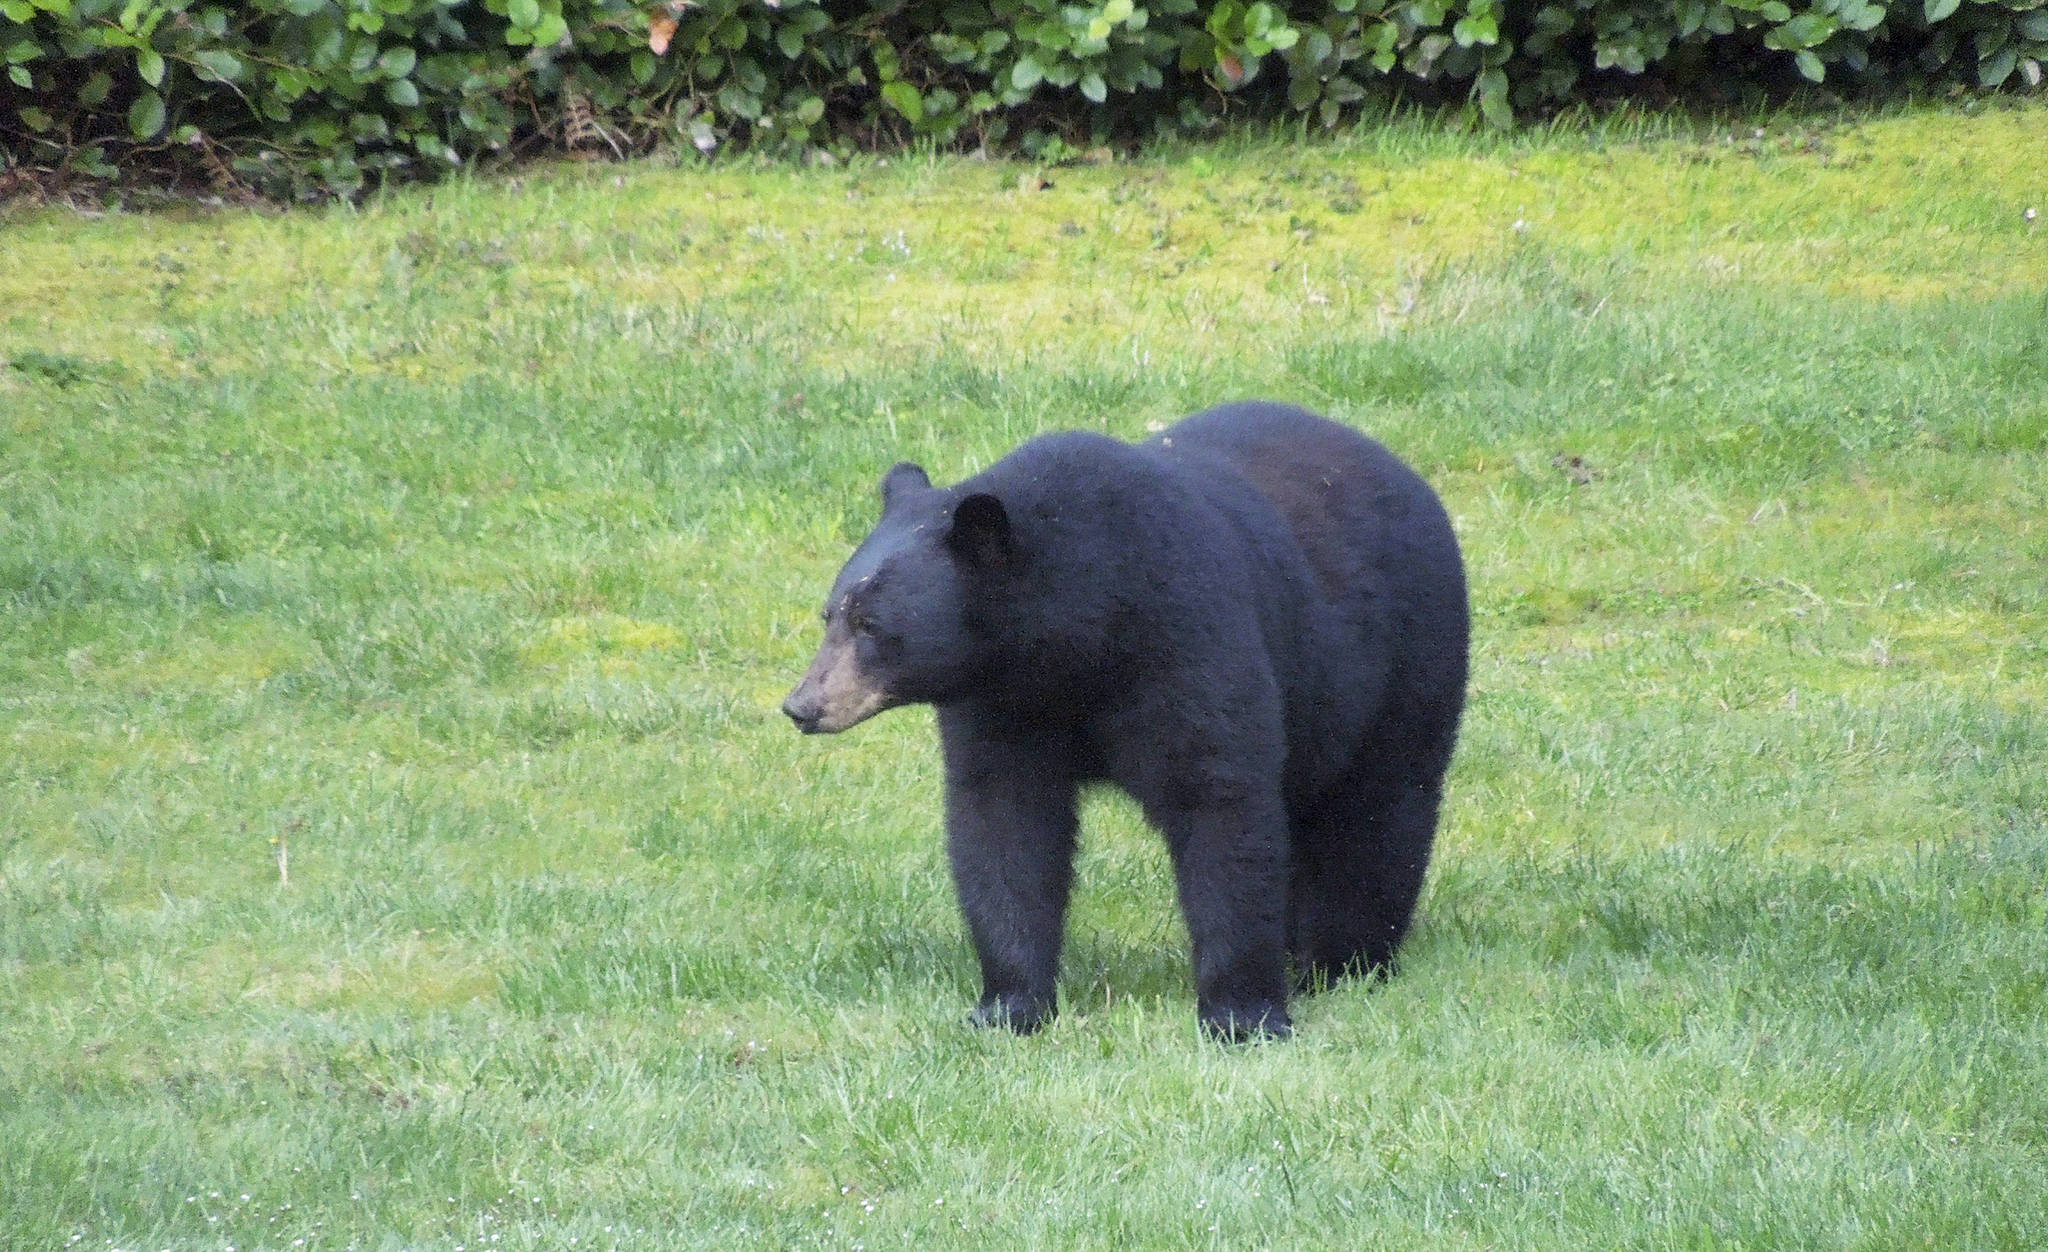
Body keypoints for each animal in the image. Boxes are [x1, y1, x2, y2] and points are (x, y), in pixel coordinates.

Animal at [782, 401, 1468, 1041]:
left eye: (872, 625)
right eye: (830, 614)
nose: (802, 706)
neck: (1079, 630)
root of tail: (1401, 467)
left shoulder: (1186, 632)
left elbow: (1219, 797)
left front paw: (1242, 1016)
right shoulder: (1003, 702)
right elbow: (1003, 822)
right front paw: (1009, 1005)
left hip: (1403, 659)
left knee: (1381, 811)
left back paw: (1345, 961)